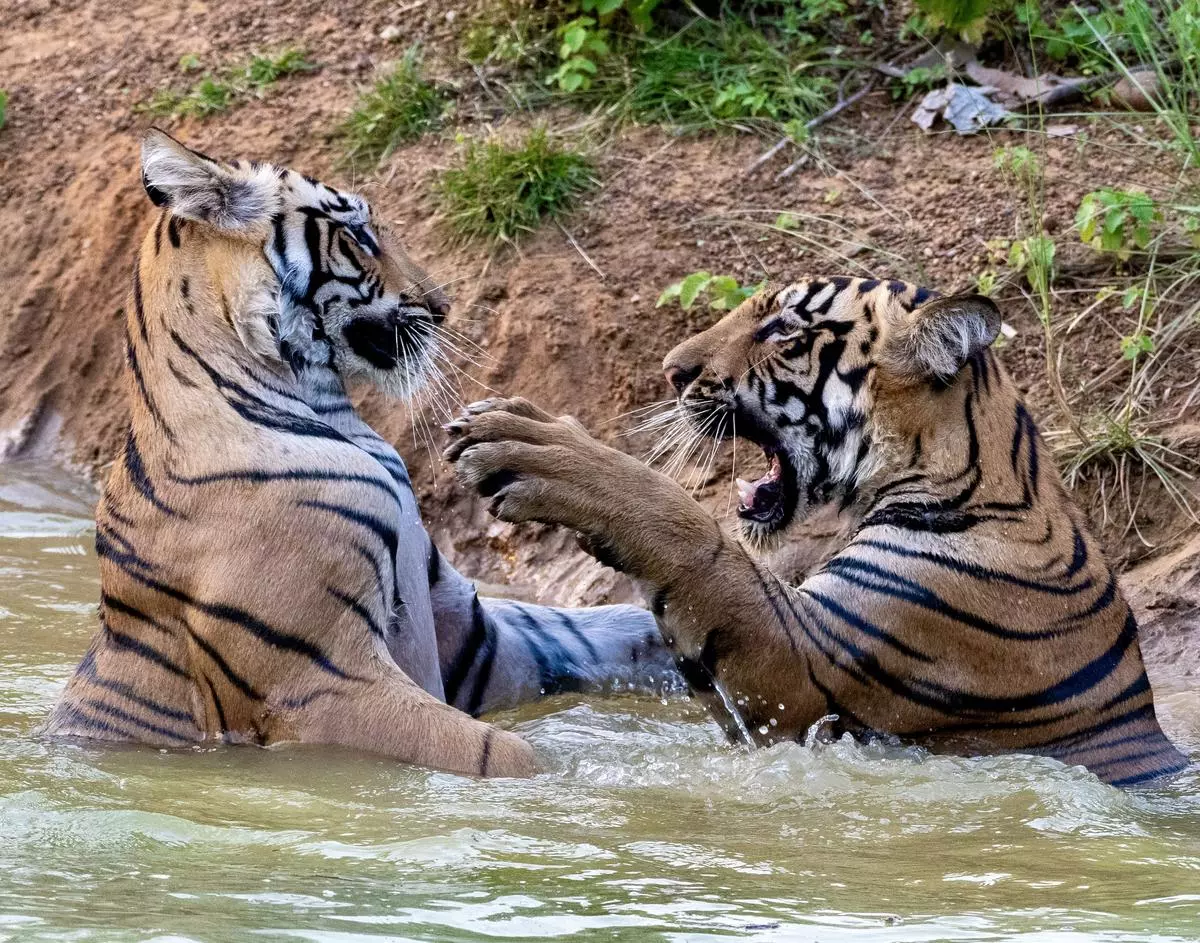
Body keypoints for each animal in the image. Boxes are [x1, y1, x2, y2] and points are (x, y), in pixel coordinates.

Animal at [39, 130, 676, 777]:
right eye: (360, 234)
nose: (442, 306)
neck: (330, 407)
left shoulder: (473, 642)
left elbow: (597, 629)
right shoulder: (321, 681)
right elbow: (500, 752)